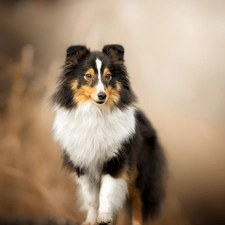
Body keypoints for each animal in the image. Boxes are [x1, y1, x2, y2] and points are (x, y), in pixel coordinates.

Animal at [51, 44, 166, 224]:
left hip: (139, 174)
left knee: (138, 202)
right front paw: (91, 220)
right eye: (88, 75)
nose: (102, 95)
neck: (95, 113)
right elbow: (92, 199)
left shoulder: (115, 162)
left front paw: (104, 217)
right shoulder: (83, 164)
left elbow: (106, 193)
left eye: (108, 76)